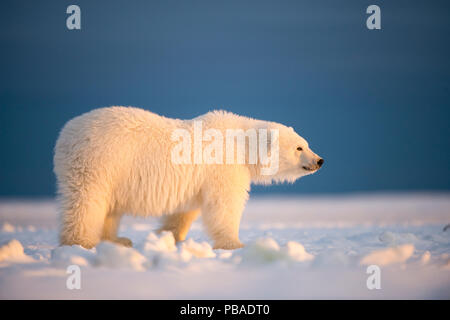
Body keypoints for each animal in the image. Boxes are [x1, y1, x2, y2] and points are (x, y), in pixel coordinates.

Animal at [54, 107, 324, 250]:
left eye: (306, 143)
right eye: (299, 147)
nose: (320, 160)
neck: (242, 144)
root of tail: (66, 133)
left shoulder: (197, 180)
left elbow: (185, 211)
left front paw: (168, 237)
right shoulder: (223, 167)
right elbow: (224, 205)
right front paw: (235, 244)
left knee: (110, 208)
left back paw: (118, 240)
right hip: (100, 162)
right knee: (87, 202)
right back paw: (80, 242)